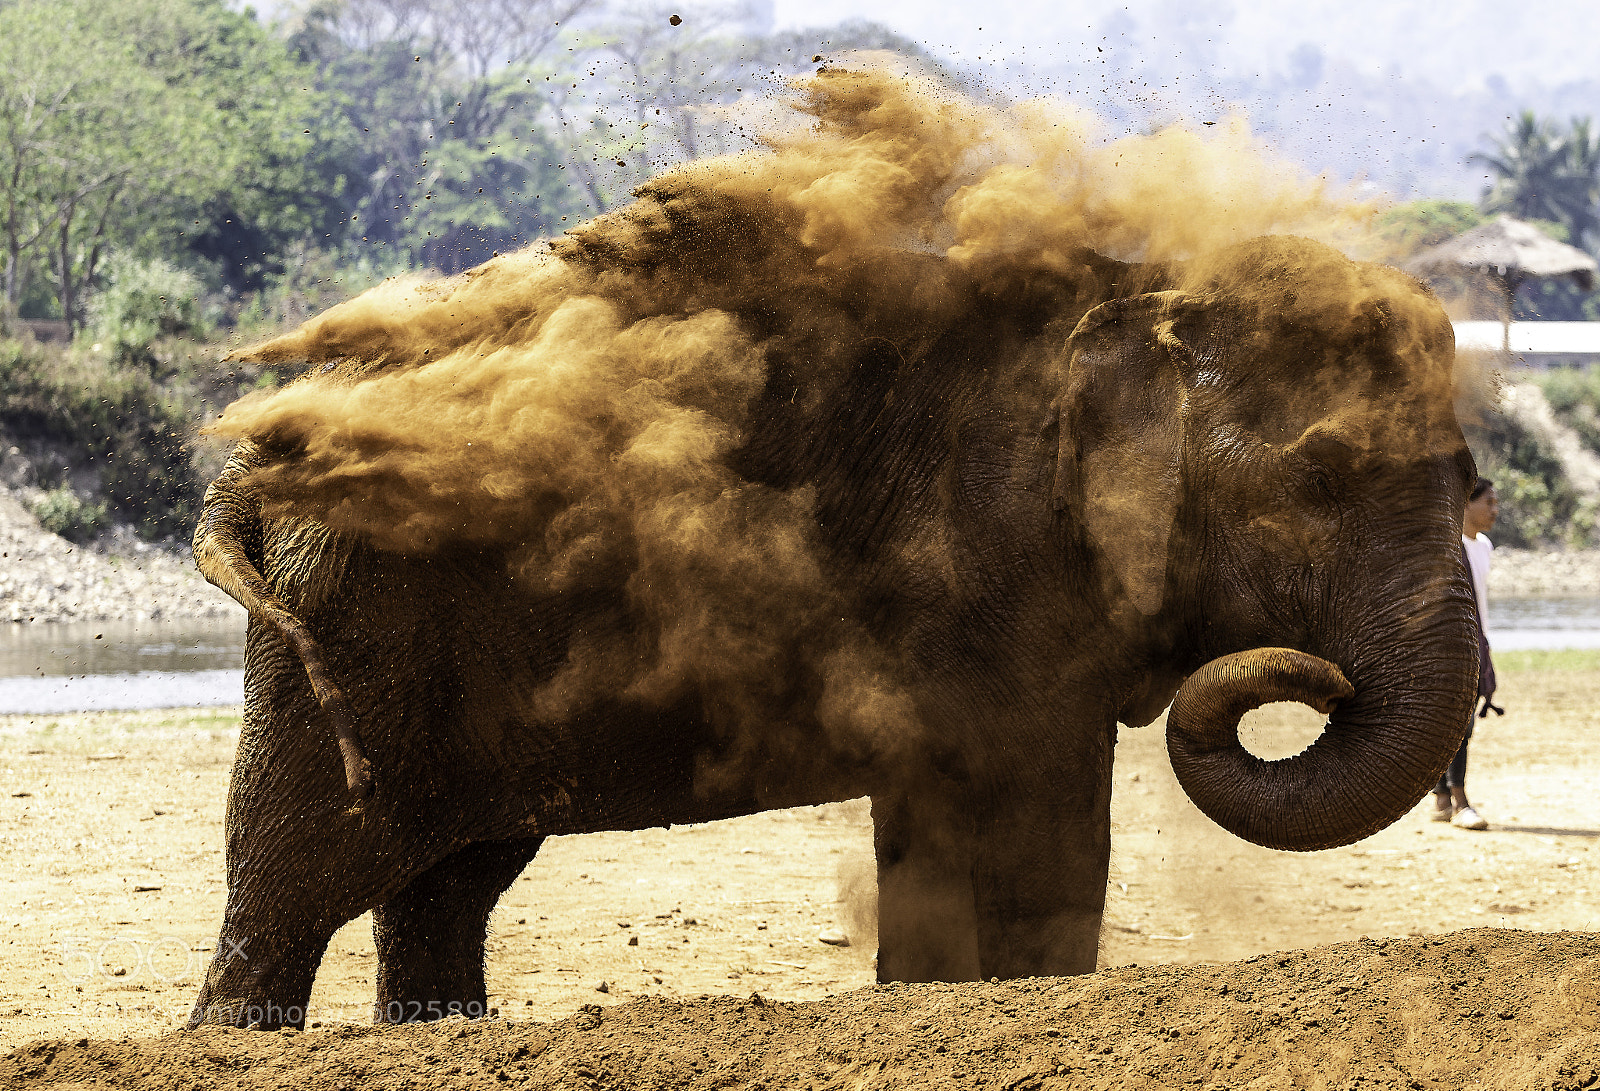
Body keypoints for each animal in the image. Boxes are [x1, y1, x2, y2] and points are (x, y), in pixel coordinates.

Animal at [184, 231, 1478, 1030]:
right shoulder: (999, 566)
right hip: (356, 626)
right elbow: (1036, 814)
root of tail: (245, 463)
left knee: (446, 881)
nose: (1316, 675)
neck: (1146, 288)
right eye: (1321, 477)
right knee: (297, 873)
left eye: (1471, 481)